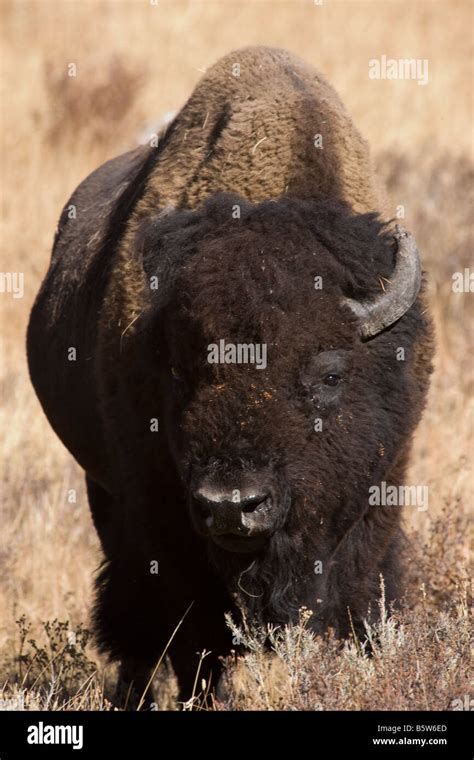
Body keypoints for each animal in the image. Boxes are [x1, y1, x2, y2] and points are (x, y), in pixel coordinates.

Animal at [25, 46, 434, 700]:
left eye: (330, 376)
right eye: (180, 372)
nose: (231, 505)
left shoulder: (379, 499)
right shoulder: (162, 520)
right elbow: (195, 637)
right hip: (103, 493)